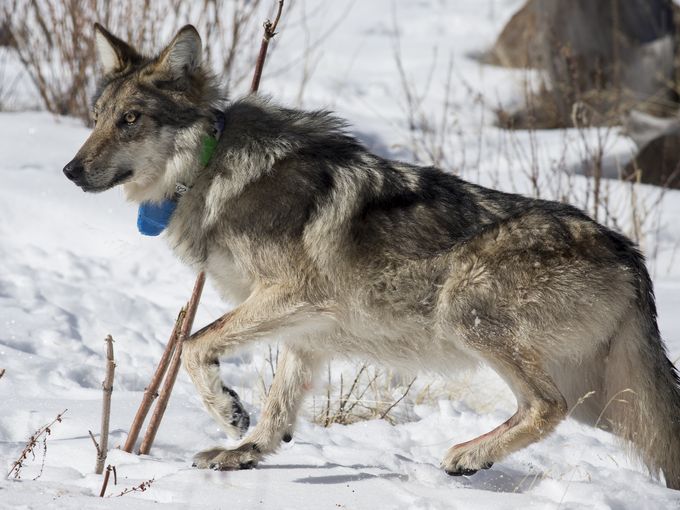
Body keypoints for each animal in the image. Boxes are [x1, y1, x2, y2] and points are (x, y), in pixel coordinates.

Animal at [63, 24, 680, 488]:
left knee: (546, 406)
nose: (69, 170)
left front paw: (228, 410)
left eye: (131, 120)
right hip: (608, 403)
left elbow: (194, 344)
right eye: (96, 116)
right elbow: (279, 407)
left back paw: (468, 455)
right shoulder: (305, 329)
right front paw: (246, 449)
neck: (210, 170)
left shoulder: (291, 296)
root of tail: (630, 254)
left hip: (469, 313)